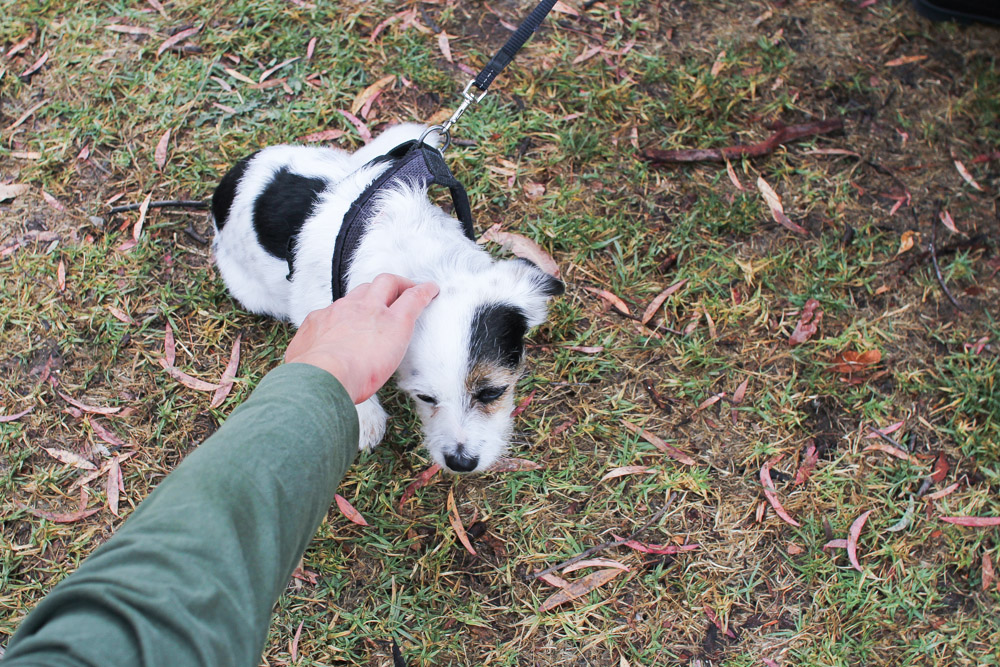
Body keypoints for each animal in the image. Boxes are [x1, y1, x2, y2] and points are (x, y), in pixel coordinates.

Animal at [209, 122, 564, 472]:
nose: (460, 462)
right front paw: (364, 415)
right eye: (425, 397)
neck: (423, 265)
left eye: (492, 392)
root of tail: (231, 180)